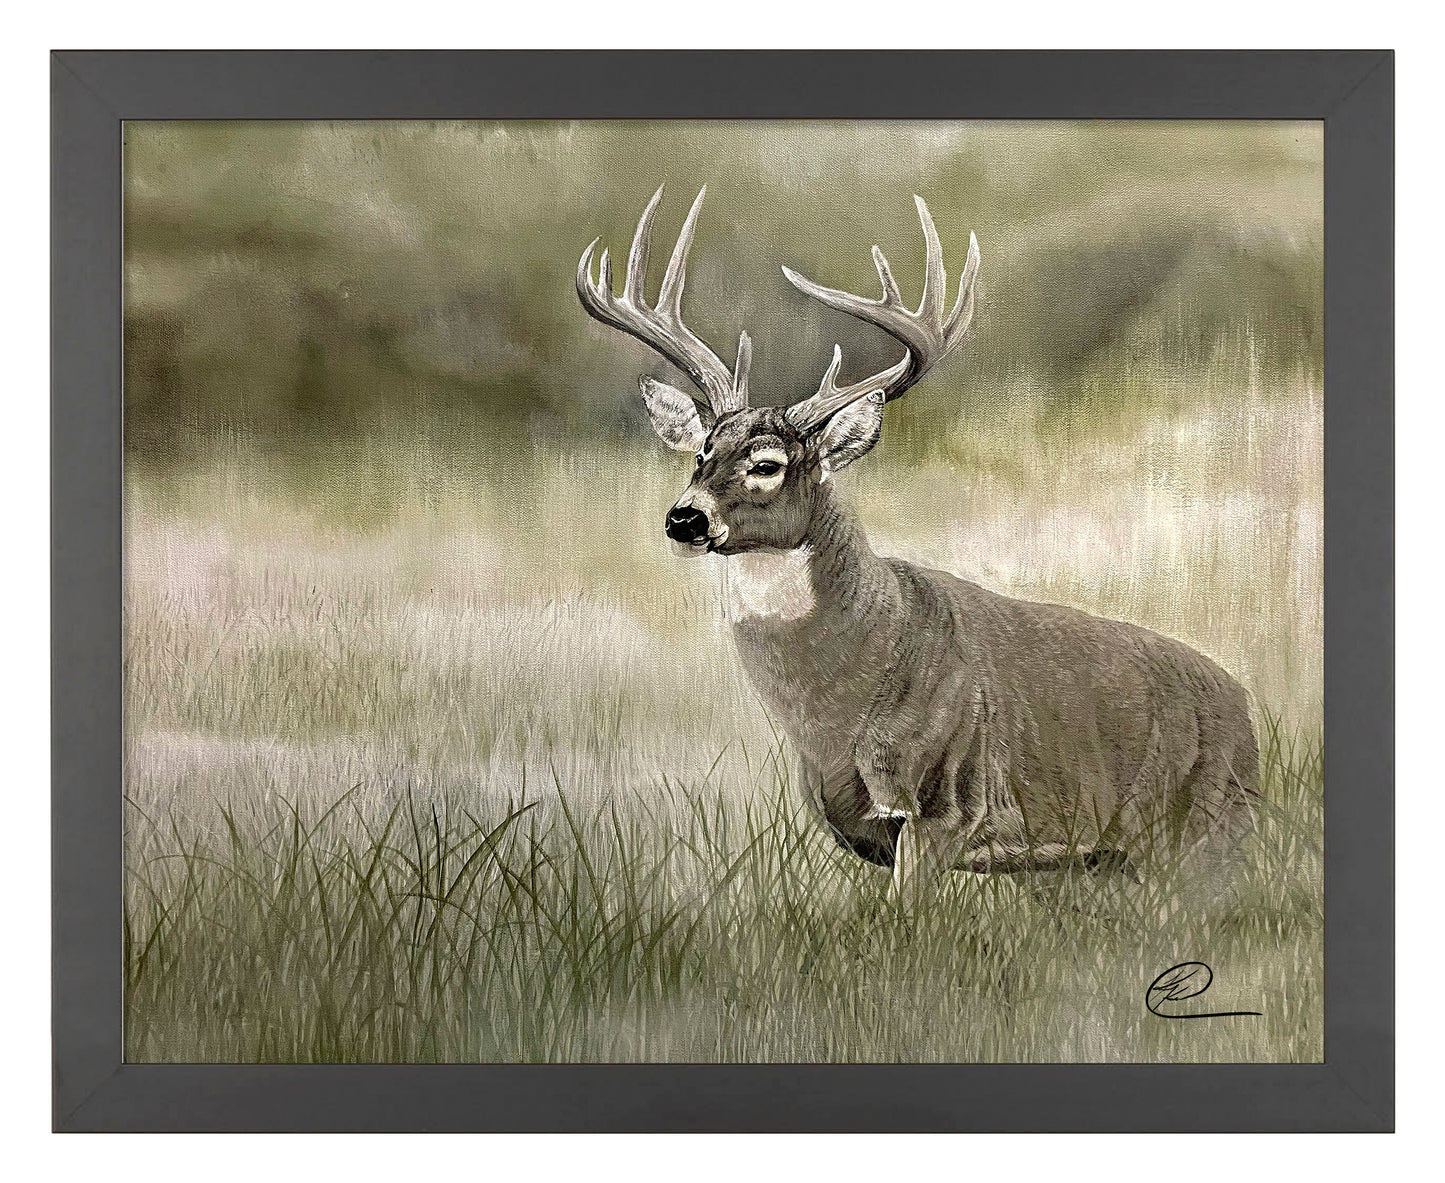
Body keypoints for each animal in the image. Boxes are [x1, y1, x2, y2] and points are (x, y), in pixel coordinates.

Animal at [577, 185, 1259, 907]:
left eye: (766, 463)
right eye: (701, 453)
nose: (684, 519)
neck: (837, 710)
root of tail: (1245, 708)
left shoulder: (945, 803)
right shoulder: (864, 829)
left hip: (1211, 829)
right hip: (1100, 859)